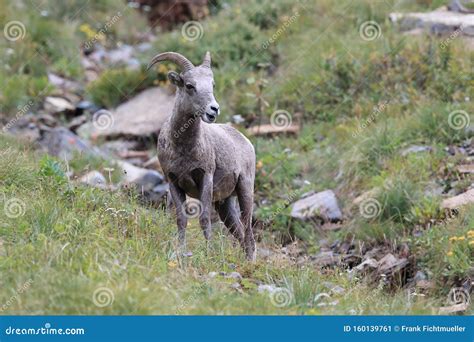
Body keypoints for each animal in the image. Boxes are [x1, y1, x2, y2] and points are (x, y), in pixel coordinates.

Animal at [148, 50, 258, 260]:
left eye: (212, 85)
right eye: (189, 85)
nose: (213, 109)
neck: (183, 149)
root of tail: (246, 141)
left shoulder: (205, 178)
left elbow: (204, 219)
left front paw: (209, 254)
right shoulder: (173, 182)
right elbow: (181, 220)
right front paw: (180, 251)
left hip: (245, 189)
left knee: (248, 230)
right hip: (225, 205)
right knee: (239, 231)